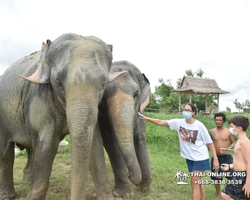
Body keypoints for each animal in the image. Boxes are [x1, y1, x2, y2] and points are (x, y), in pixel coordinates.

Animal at [0, 33, 113, 200]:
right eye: (59, 82)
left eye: (103, 85)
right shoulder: (38, 97)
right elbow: (47, 144)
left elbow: (95, 144)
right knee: (5, 153)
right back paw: (8, 196)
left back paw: (27, 182)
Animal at [98, 60, 151, 197]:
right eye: (103, 97)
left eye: (136, 93)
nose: (129, 175)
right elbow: (110, 143)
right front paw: (124, 194)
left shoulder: (140, 112)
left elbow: (140, 138)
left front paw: (145, 188)